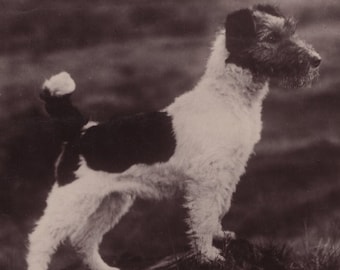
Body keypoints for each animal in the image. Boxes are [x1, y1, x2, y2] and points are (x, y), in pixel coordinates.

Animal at [27, 4, 322, 270]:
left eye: (290, 31)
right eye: (271, 38)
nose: (316, 60)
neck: (229, 97)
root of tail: (81, 130)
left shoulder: (228, 172)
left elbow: (219, 208)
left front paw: (220, 236)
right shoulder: (207, 178)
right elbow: (203, 217)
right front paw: (209, 254)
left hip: (112, 200)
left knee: (83, 239)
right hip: (73, 199)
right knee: (41, 239)